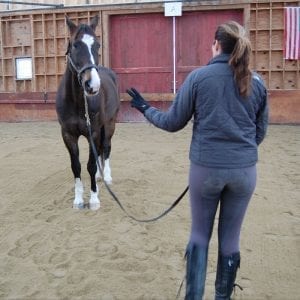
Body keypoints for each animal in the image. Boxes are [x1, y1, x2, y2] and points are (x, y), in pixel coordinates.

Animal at [56, 15, 119, 210]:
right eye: (75, 45)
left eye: (97, 45)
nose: (92, 85)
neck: (77, 102)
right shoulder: (68, 135)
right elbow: (76, 166)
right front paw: (78, 200)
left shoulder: (95, 131)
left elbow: (90, 165)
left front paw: (93, 199)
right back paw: (100, 177)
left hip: (110, 124)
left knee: (106, 148)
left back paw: (107, 176)